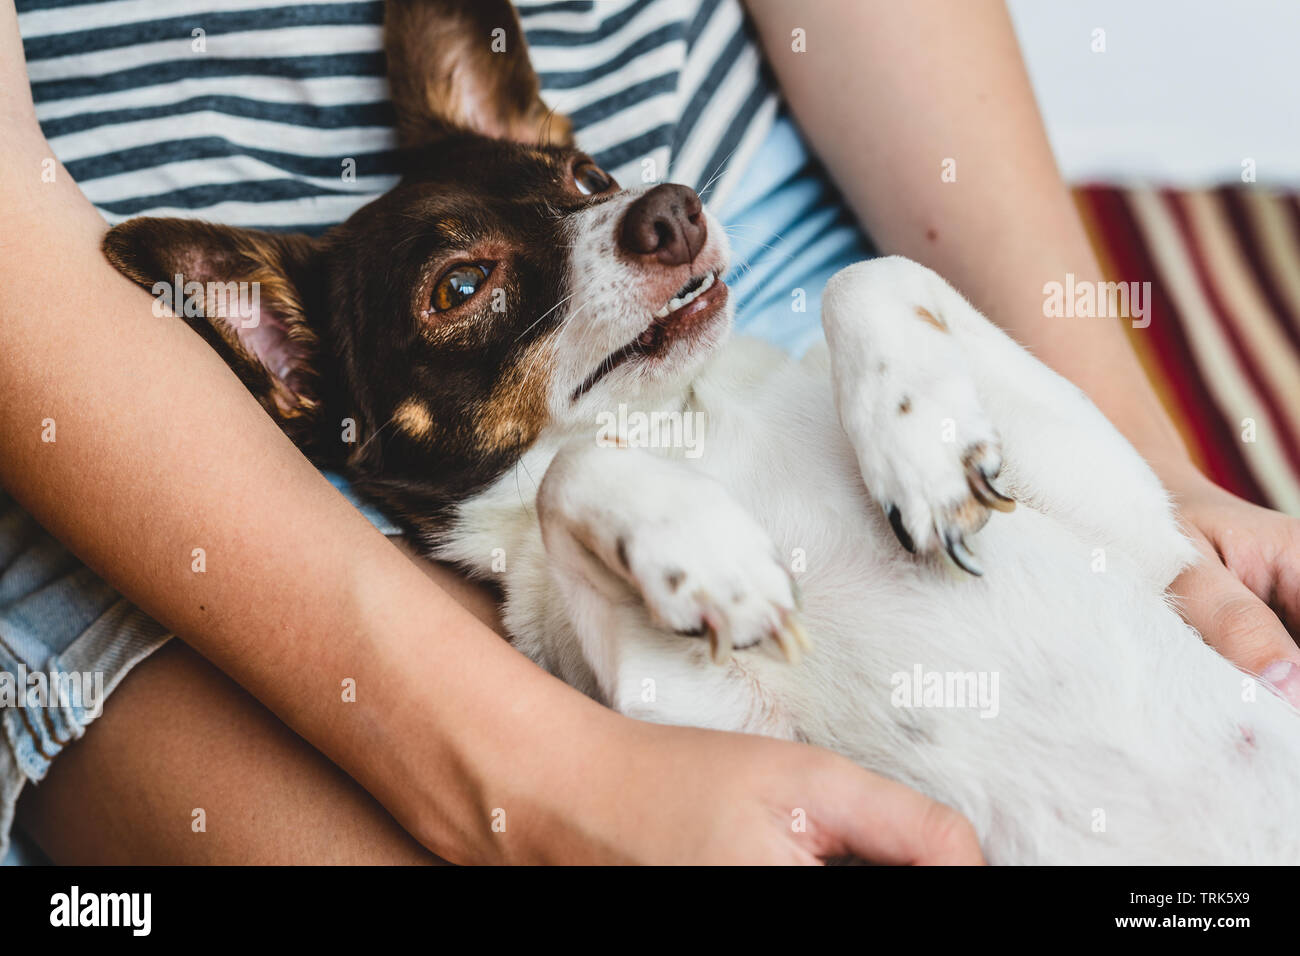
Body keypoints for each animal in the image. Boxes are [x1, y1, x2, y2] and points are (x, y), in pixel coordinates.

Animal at [104, 0, 1300, 868]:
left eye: (589, 179)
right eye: (459, 285)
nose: (671, 205)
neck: (689, 434)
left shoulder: (1132, 528)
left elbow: (870, 272)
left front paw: (913, 445)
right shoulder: (724, 734)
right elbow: (572, 474)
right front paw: (701, 550)